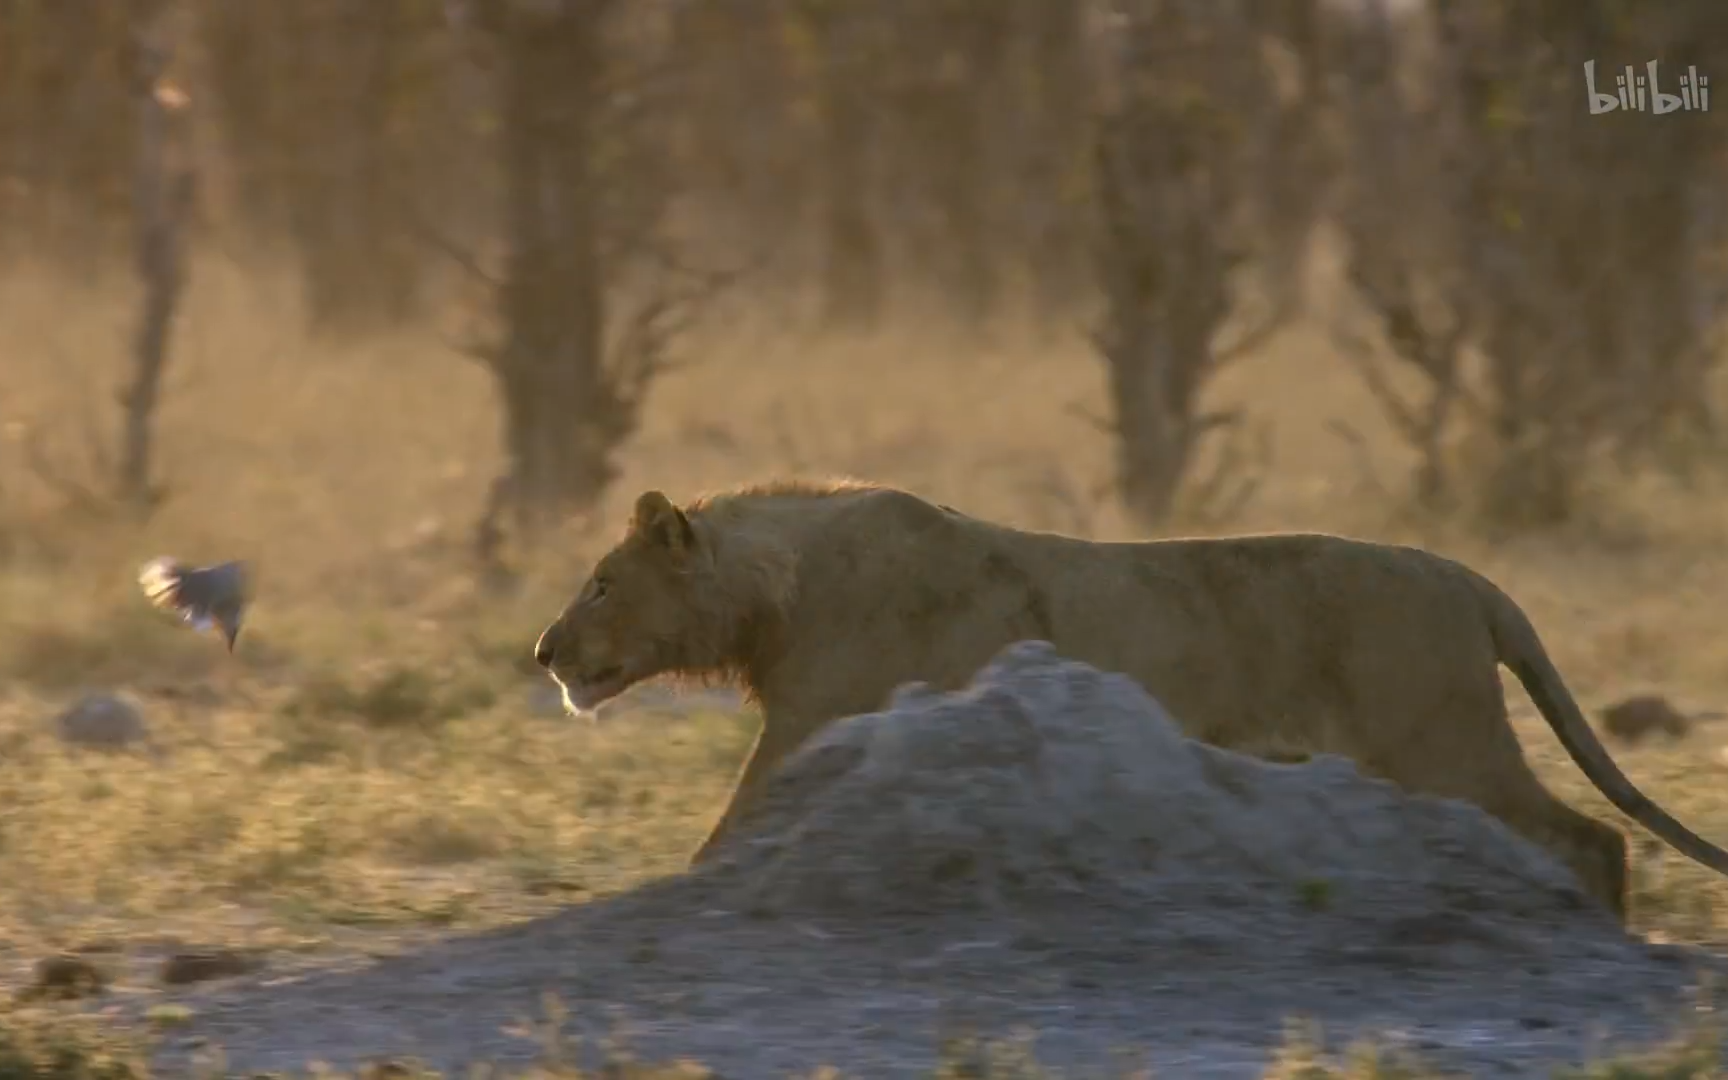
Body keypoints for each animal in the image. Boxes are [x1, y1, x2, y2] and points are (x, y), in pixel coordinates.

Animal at [532, 480, 1728, 919]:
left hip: (1445, 741)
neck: (773, 592)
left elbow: (719, 841)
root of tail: (1467, 578)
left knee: (1593, 838)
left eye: (601, 583)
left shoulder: (803, 727)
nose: (543, 649)